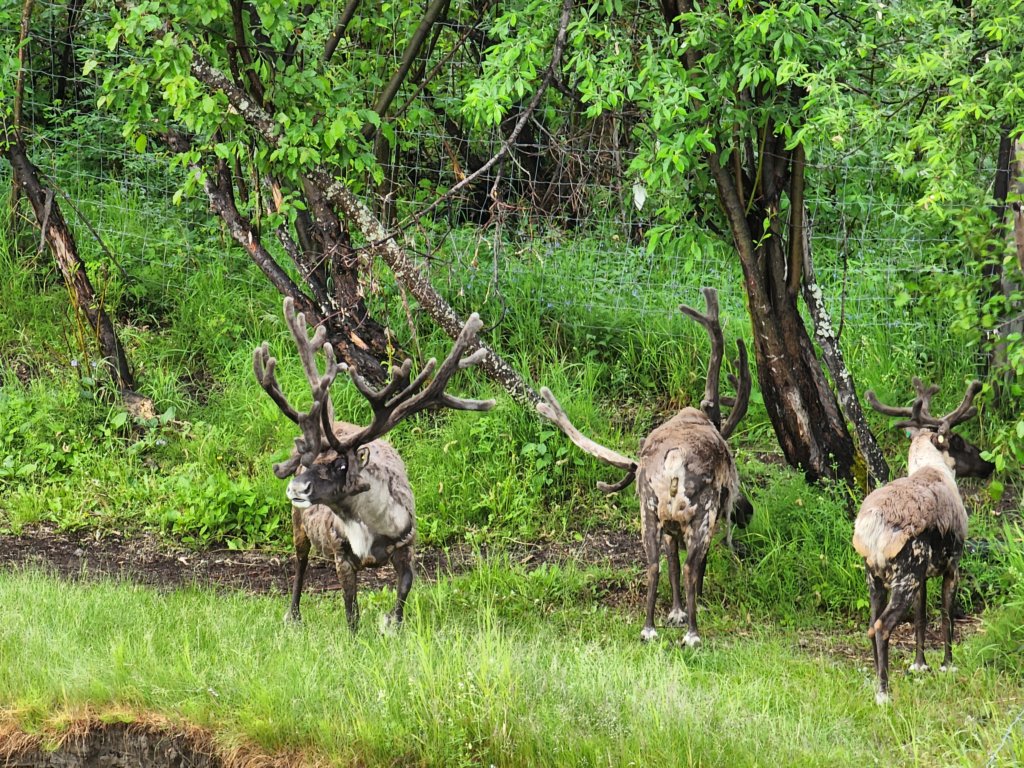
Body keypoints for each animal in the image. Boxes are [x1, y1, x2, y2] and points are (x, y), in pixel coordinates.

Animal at [254, 297, 495, 631]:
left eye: (341, 466)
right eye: (307, 463)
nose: (296, 487)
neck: (373, 530)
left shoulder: (408, 546)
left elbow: (403, 591)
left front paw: (392, 624)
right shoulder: (342, 556)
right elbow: (351, 612)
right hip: (297, 523)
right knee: (300, 563)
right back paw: (293, 615)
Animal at [538, 287, 751, 648]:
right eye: (737, 489)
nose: (747, 512)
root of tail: (675, 461)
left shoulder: (669, 525)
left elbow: (671, 564)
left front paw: (675, 613)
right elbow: (695, 567)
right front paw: (690, 610)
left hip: (648, 511)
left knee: (653, 565)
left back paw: (649, 627)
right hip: (701, 513)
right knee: (691, 565)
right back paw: (693, 635)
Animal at [853, 378, 995, 704]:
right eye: (958, 440)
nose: (989, 464)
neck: (934, 468)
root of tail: (871, 533)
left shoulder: (925, 574)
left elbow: (920, 617)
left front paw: (920, 664)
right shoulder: (952, 563)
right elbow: (945, 616)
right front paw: (947, 665)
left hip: (875, 576)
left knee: (870, 624)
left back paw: (876, 679)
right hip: (905, 573)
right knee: (882, 626)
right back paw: (884, 692)